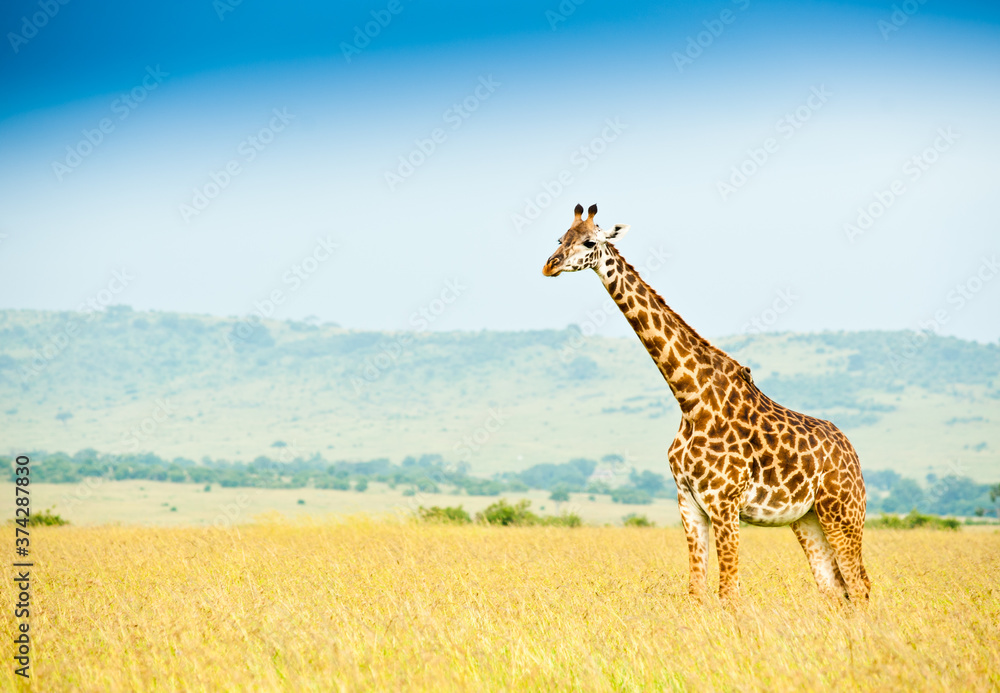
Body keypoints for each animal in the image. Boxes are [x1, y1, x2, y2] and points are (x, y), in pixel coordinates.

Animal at [543, 203, 870, 603]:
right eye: (561, 238)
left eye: (590, 242)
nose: (550, 265)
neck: (689, 397)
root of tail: (852, 452)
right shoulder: (688, 502)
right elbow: (696, 590)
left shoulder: (724, 503)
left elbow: (728, 592)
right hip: (806, 518)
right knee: (834, 588)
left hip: (843, 511)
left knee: (860, 585)